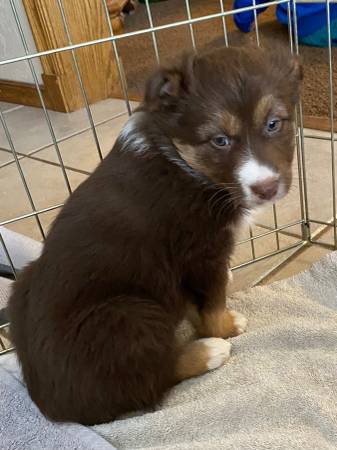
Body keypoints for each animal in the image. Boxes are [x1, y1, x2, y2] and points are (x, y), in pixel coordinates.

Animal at [9, 46, 300, 426]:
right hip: (128, 313)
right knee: (149, 379)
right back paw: (208, 352)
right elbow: (212, 302)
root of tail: (55, 408)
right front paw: (223, 328)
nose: (266, 188)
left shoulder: (184, 269)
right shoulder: (202, 253)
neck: (183, 164)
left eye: (273, 123)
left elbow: (195, 301)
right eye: (219, 140)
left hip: (23, 283)